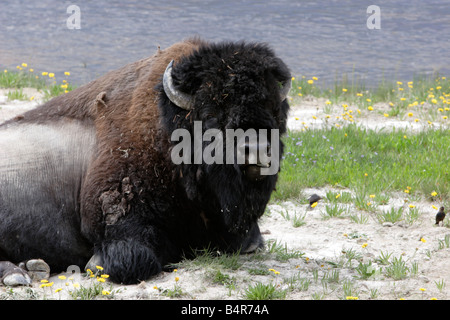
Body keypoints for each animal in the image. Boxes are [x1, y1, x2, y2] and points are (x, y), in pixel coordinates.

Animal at [0, 38, 290, 284]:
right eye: (210, 115)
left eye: (275, 111)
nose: (256, 149)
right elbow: (135, 259)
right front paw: (95, 263)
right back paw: (21, 274)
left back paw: (33, 267)